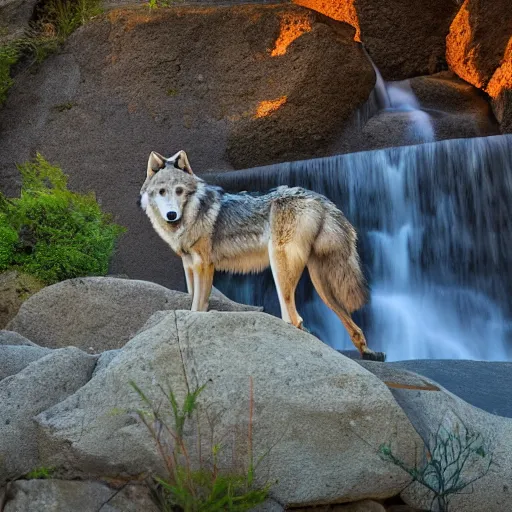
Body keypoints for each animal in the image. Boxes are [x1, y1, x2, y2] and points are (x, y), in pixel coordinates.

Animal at [139, 151, 384, 360]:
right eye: (162, 191)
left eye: (179, 190)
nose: (172, 215)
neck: (194, 212)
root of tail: (321, 199)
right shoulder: (190, 267)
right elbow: (192, 302)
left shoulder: (204, 266)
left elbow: (197, 307)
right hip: (318, 281)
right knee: (344, 321)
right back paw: (369, 352)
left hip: (280, 265)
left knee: (295, 318)